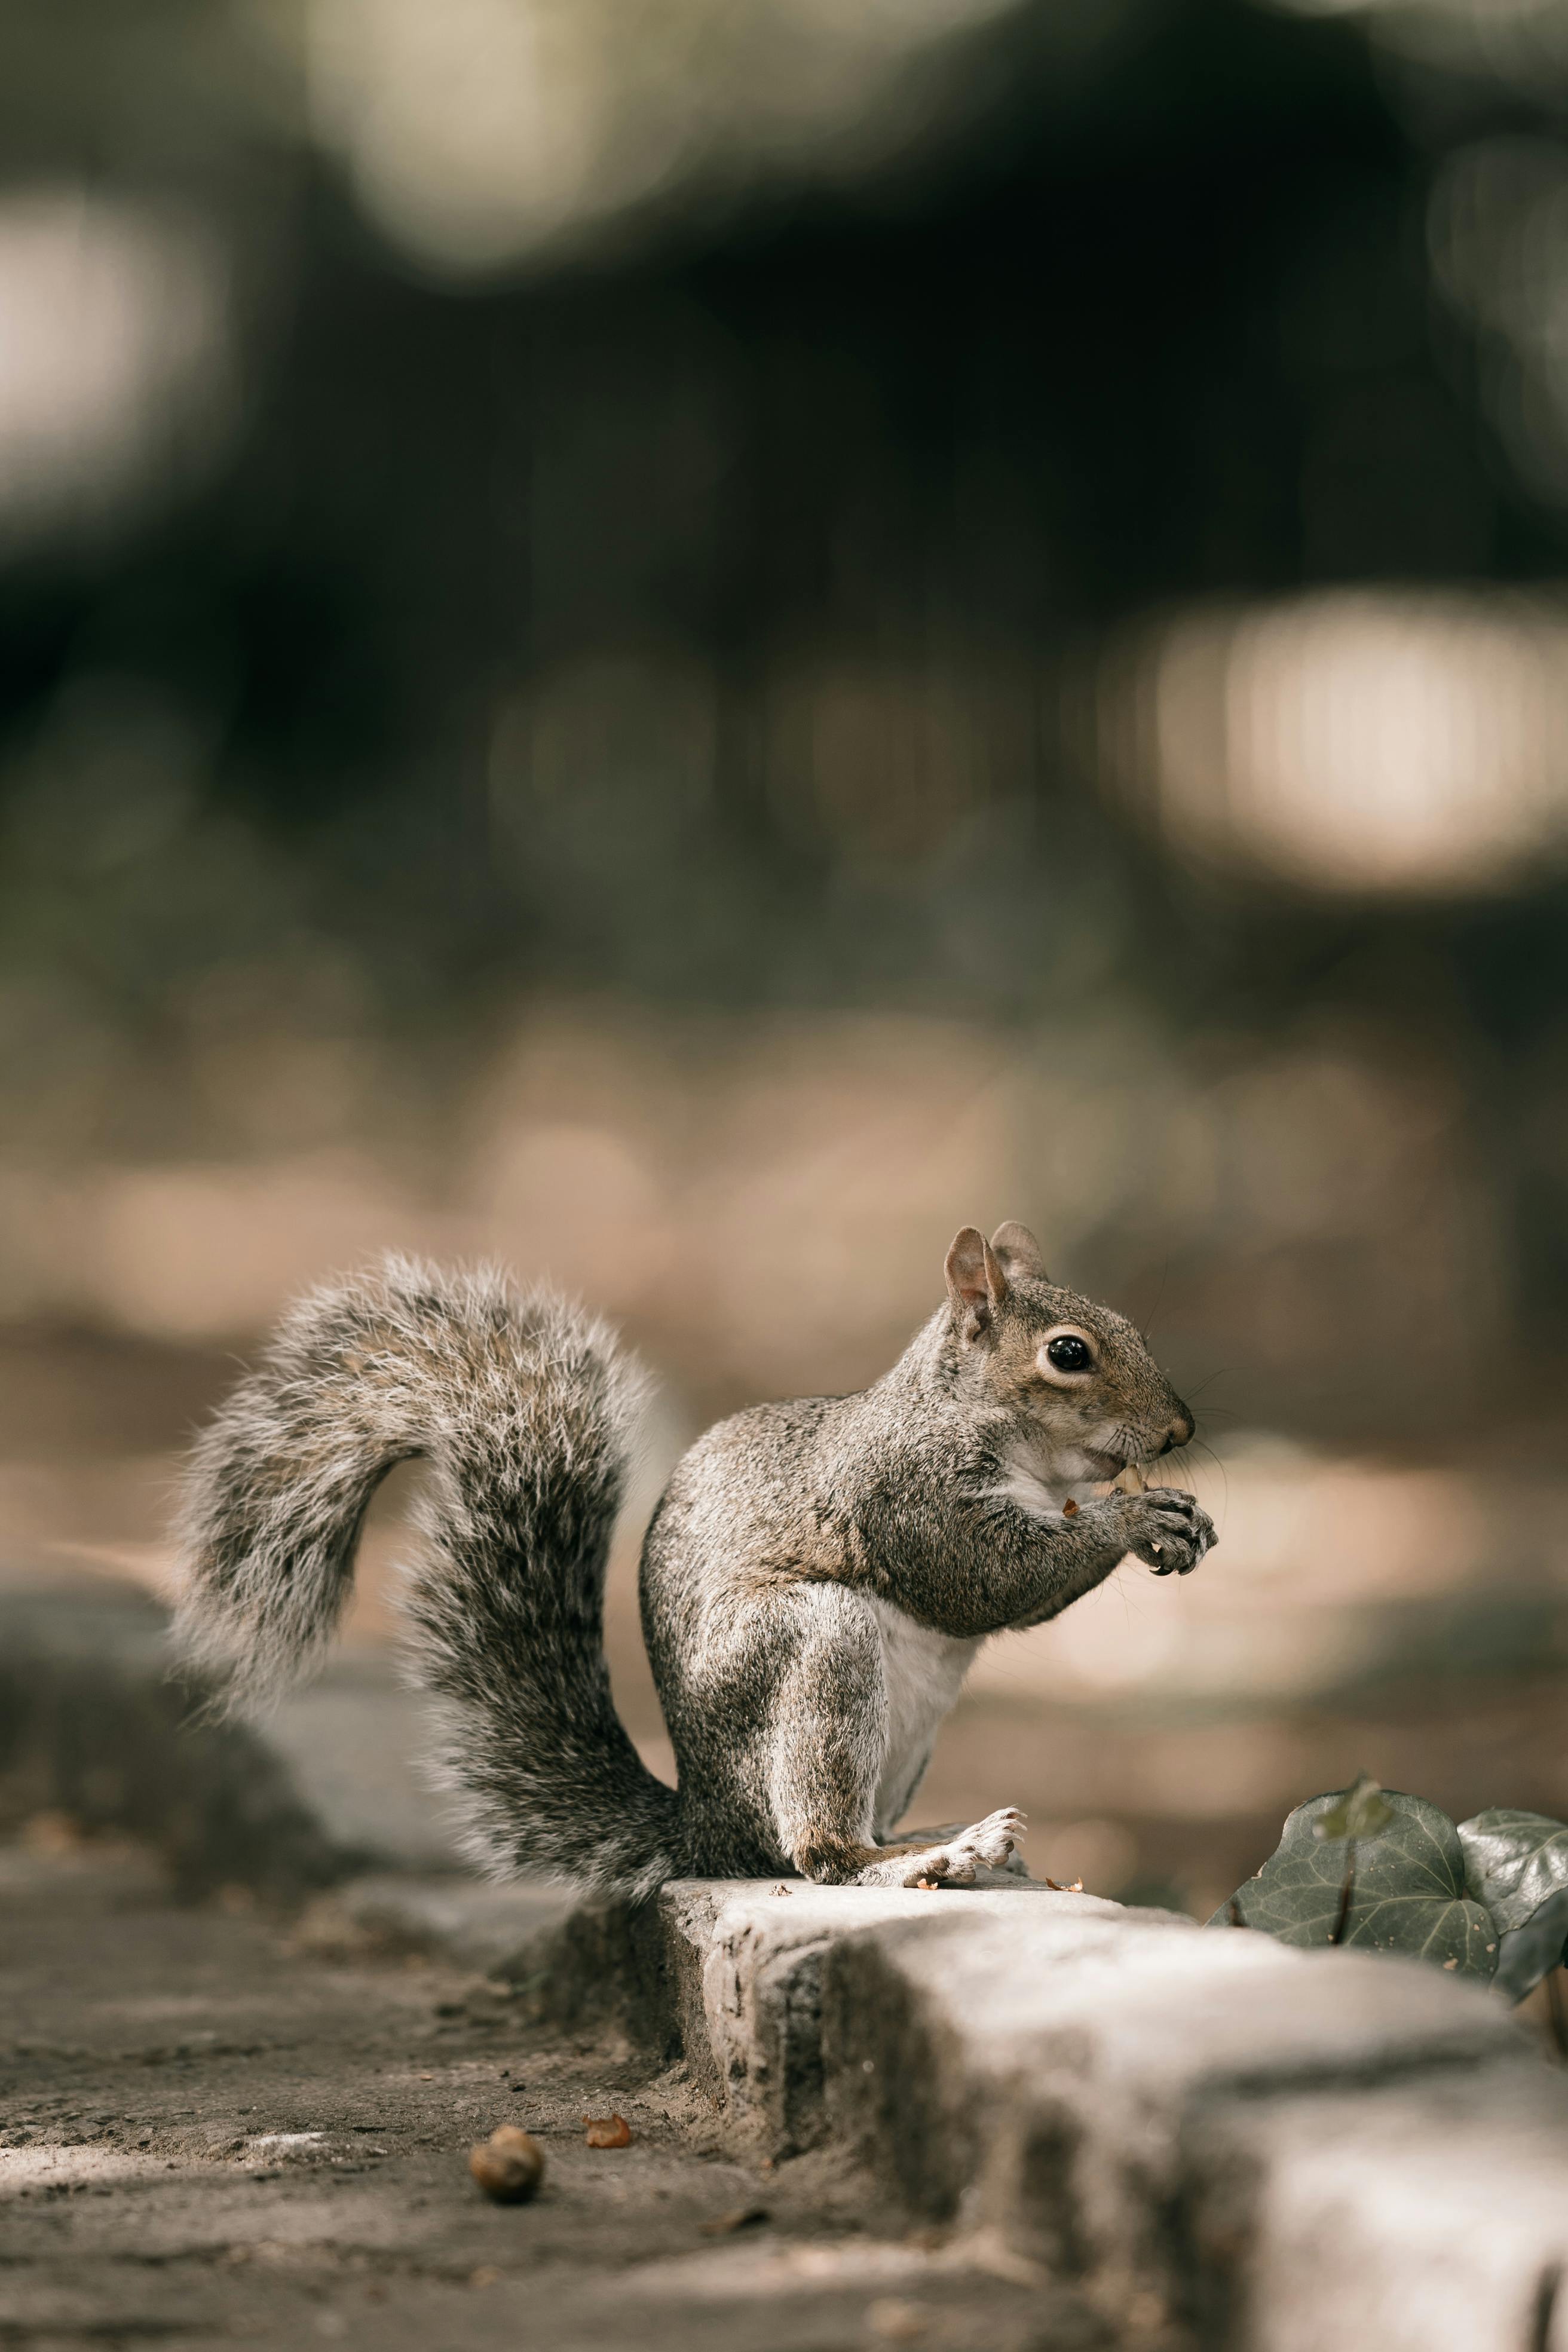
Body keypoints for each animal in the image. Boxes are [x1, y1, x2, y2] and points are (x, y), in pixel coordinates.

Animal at [177, 1223, 1222, 1900]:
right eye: (1069, 1354)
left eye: (1128, 1326)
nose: (1180, 1432)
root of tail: (707, 1825)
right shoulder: (902, 1494)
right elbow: (981, 1578)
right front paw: (1134, 1520)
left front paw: (1181, 1516)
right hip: (814, 1651)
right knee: (819, 1855)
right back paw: (916, 1860)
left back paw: (936, 1842)